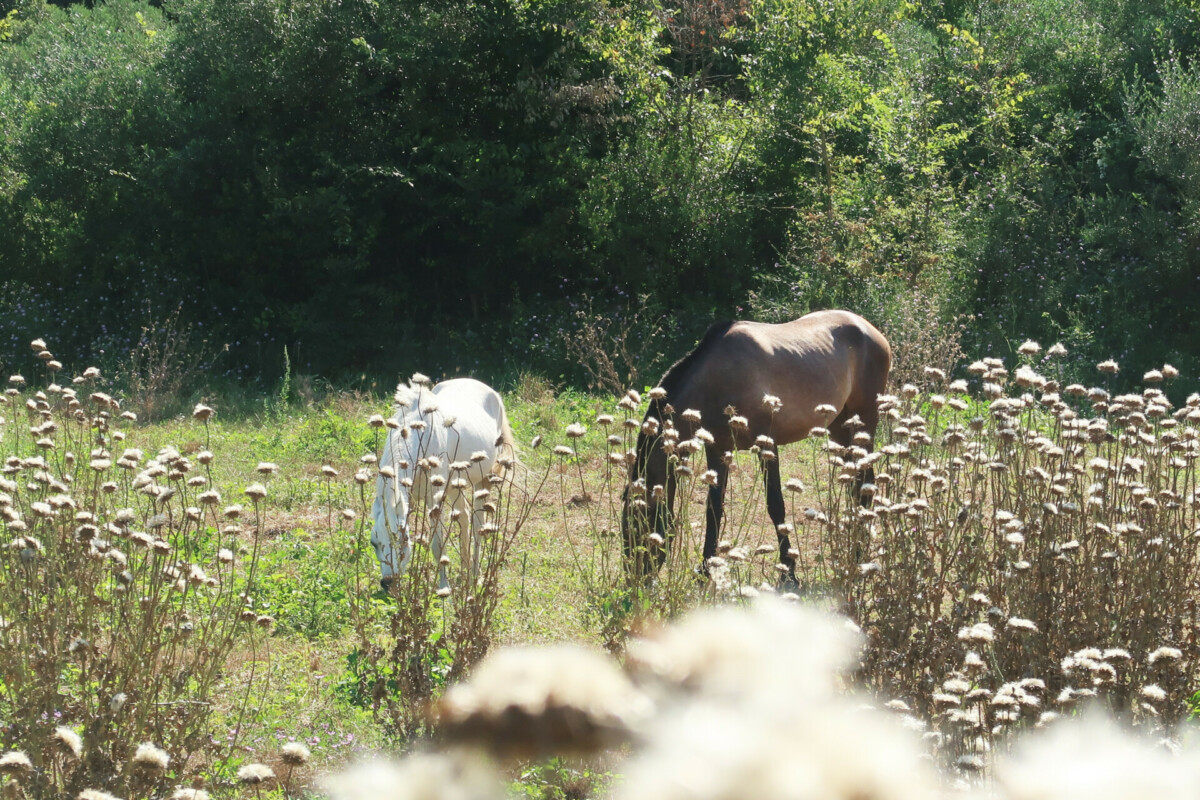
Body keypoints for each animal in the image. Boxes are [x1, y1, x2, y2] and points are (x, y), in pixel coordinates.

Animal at [369, 376, 511, 594]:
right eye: (374, 543)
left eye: (403, 539)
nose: (388, 583)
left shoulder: (434, 500)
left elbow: (437, 545)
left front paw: (444, 588)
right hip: (454, 487)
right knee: (464, 517)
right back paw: (465, 568)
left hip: (482, 481)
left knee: (478, 524)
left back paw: (475, 576)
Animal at [624, 311, 897, 587]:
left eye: (639, 522)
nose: (636, 580)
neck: (719, 380)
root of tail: (871, 330)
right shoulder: (718, 449)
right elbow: (714, 508)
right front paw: (705, 569)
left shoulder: (767, 444)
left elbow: (775, 505)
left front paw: (789, 571)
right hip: (841, 426)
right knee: (857, 485)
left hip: (865, 423)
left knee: (864, 485)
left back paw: (859, 555)